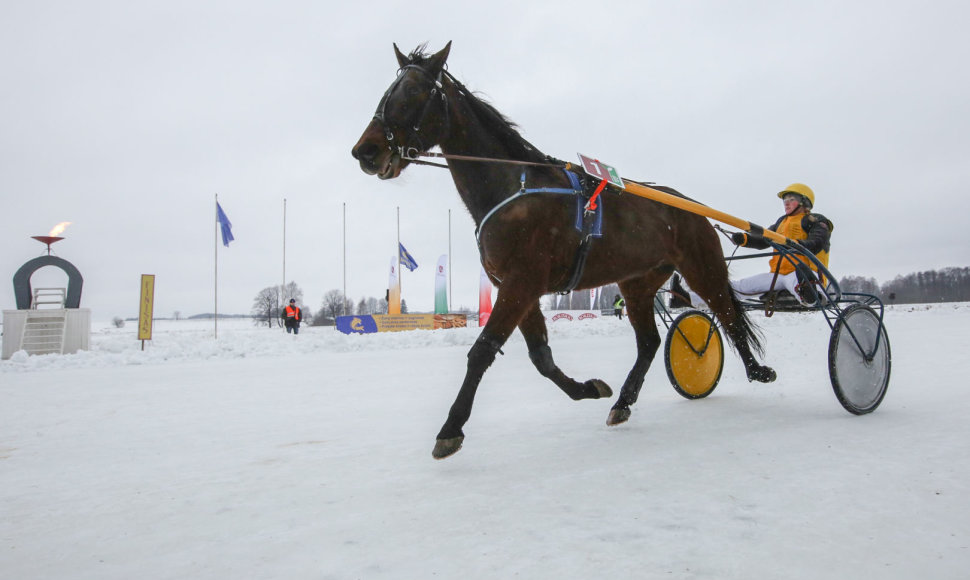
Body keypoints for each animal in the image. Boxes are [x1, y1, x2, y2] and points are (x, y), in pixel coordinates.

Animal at [352, 43, 776, 458]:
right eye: (389, 91)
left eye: (413, 92)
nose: (365, 151)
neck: (513, 186)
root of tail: (693, 206)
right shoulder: (516, 286)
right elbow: (541, 357)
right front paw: (590, 388)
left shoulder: (521, 282)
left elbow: (483, 351)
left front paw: (450, 428)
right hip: (637, 283)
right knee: (650, 342)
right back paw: (623, 401)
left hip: (701, 265)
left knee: (728, 315)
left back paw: (757, 370)